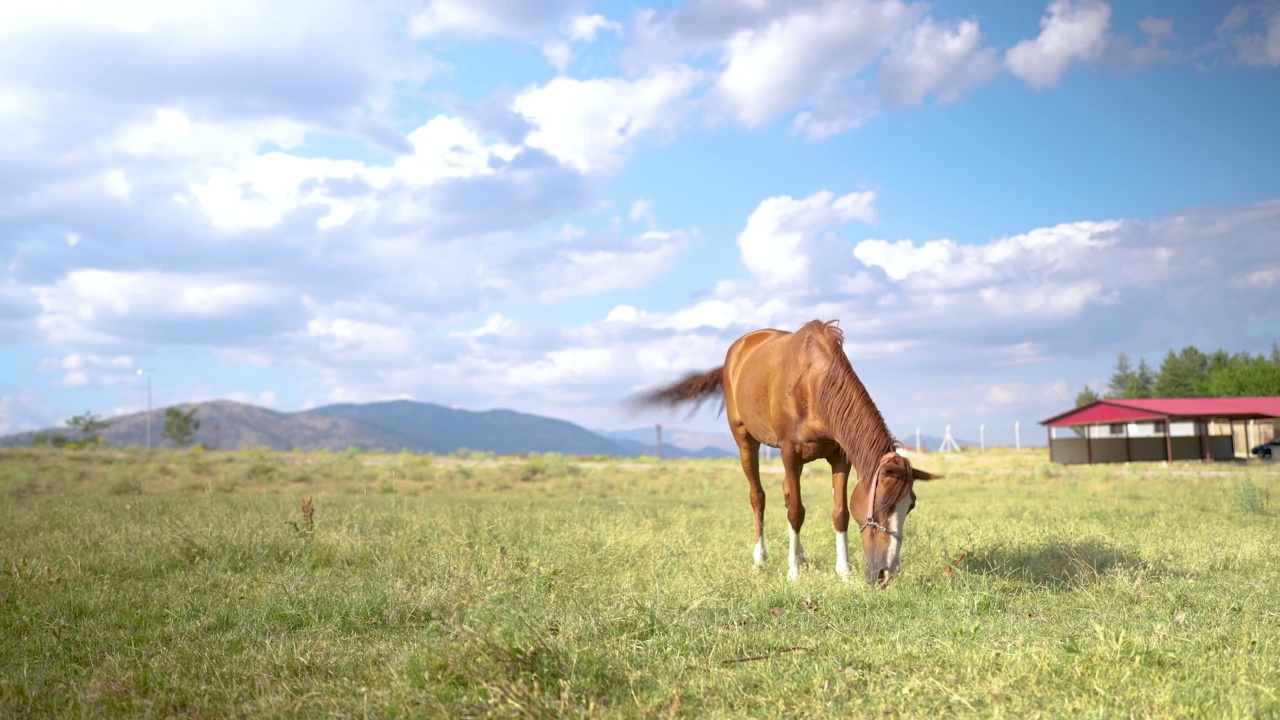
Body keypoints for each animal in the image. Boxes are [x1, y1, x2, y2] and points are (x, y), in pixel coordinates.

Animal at [634, 319, 936, 584]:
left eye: (910, 506)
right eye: (882, 505)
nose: (887, 572)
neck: (815, 383)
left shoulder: (840, 458)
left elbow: (839, 512)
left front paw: (843, 572)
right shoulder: (790, 453)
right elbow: (795, 512)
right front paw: (793, 573)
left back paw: (801, 558)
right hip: (745, 440)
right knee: (758, 497)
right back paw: (761, 561)